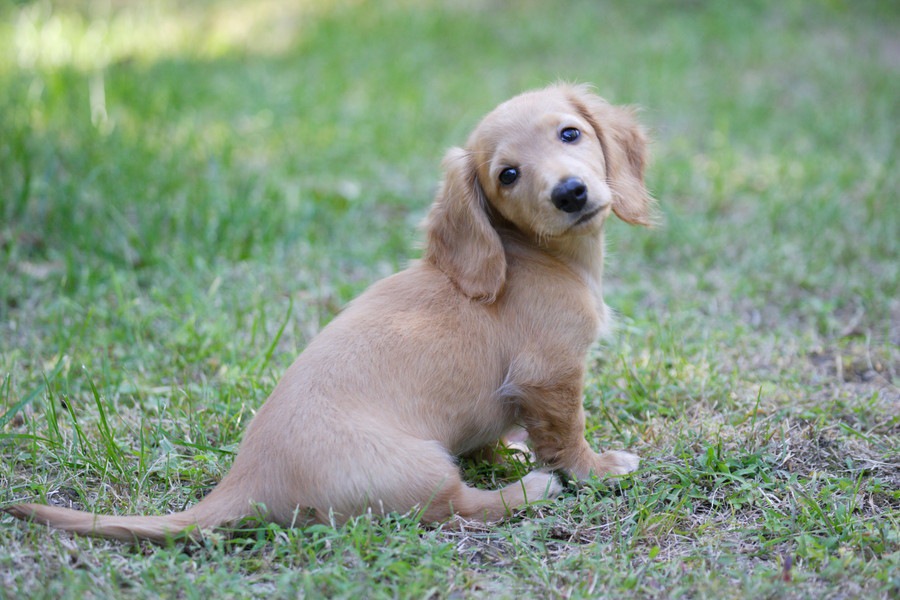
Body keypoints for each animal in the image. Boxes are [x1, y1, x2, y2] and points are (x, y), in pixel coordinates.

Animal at [3, 85, 652, 544]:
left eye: (570, 133)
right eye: (507, 175)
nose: (569, 193)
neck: (529, 254)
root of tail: (246, 480)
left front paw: (506, 450)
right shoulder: (553, 374)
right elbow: (566, 436)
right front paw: (597, 468)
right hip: (420, 464)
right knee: (458, 508)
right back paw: (530, 491)